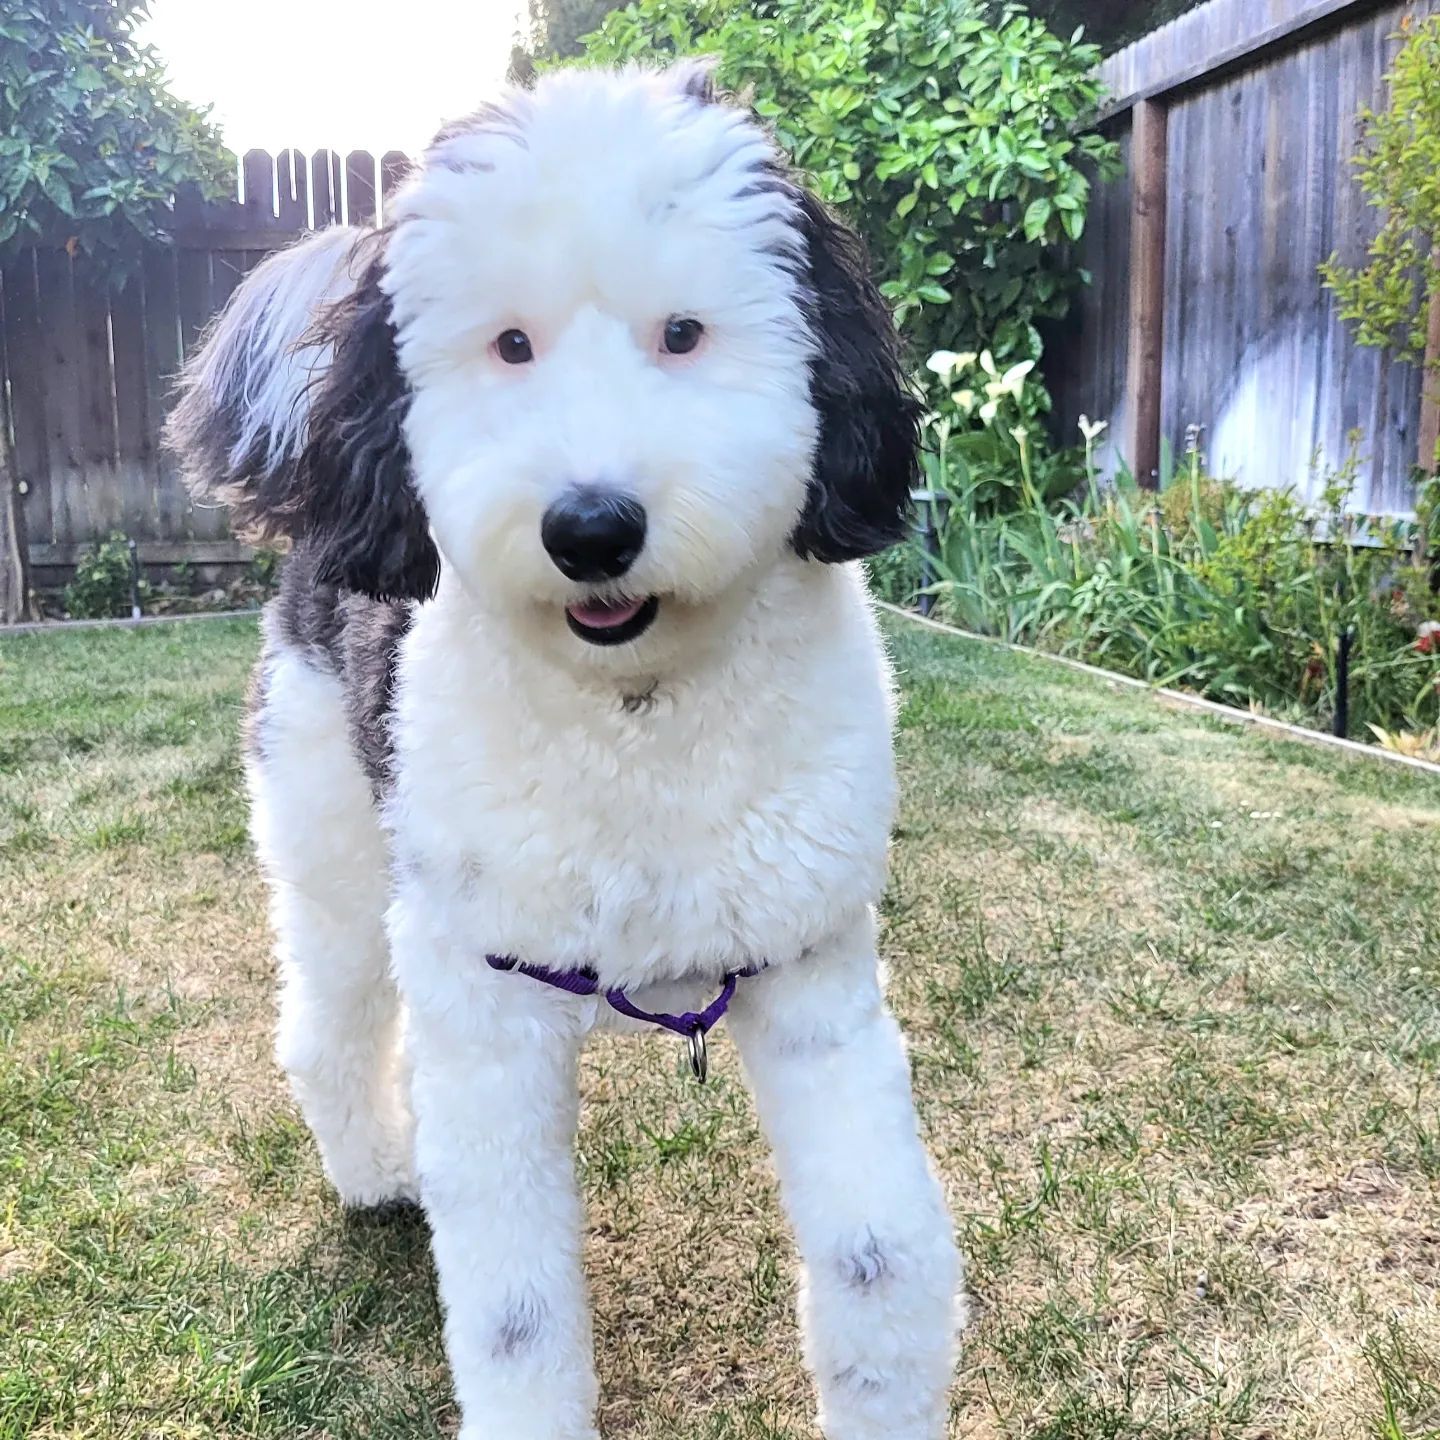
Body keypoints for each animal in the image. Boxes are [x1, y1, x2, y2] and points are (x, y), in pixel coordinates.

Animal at [165, 59, 956, 1440]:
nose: (590, 528)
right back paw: (377, 1175)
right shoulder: (489, 1005)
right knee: (328, 1028)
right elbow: (514, 1314)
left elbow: (882, 1256)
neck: (633, 712)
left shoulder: (812, 966)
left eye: (684, 333)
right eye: (511, 345)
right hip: (336, 848)